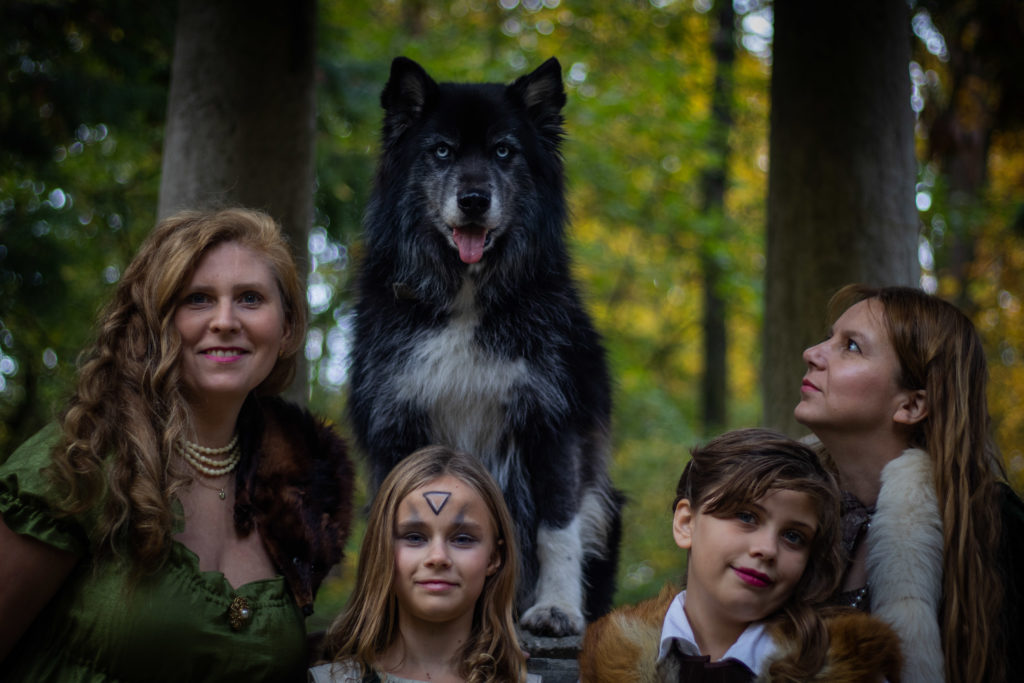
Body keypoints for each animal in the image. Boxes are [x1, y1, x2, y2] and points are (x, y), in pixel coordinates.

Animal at [348, 57, 618, 634]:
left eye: (503, 151)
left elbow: (555, 529)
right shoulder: (398, 426)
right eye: (441, 151)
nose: (474, 200)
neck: (467, 300)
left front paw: (557, 608)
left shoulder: (552, 424)